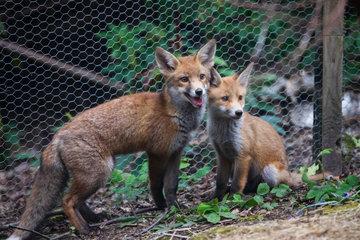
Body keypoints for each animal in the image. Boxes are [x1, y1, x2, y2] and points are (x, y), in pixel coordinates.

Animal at [8, 40, 217, 239]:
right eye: (184, 79)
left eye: (202, 77)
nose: (199, 92)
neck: (174, 113)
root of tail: (57, 136)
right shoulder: (156, 153)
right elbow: (156, 185)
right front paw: (161, 207)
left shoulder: (175, 152)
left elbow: (172, 185)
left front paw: (175, 207)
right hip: (99, 172)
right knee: (66, 201)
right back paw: (84, 229)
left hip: (93, 173)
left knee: (75, 201)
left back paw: (94, 218)